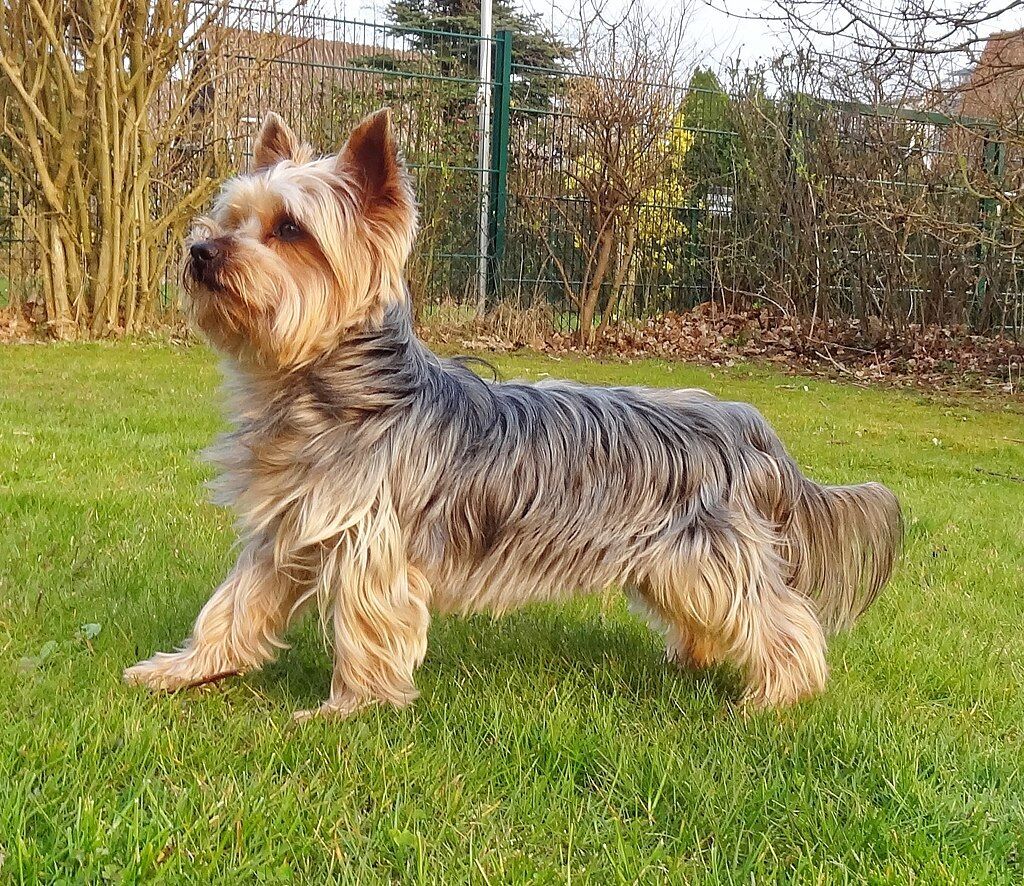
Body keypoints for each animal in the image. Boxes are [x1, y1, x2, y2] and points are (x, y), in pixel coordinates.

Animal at [123, 110, 901, 721]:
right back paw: (697, 661)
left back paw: (779, 697)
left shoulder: (369, 540)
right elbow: (233, 605)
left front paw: (347, 711)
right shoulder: (288, 529)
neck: (329, 386)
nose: (200, 250)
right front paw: (182, 671)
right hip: (669, 559)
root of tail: (748, 425)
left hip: (704, 550)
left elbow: (366, 626)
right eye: (230, 219)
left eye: (290, 229)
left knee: (781, 616)